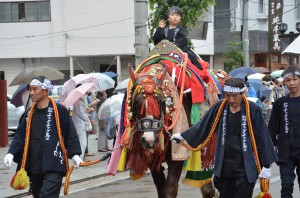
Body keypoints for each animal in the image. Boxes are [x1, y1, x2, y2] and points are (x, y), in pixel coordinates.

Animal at [108, 39, 223, 197]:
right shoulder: (152, 156)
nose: (149, 139)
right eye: (135, 103)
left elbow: (169, 189)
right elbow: (161, 188)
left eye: (161, 102)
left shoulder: (178, 152)